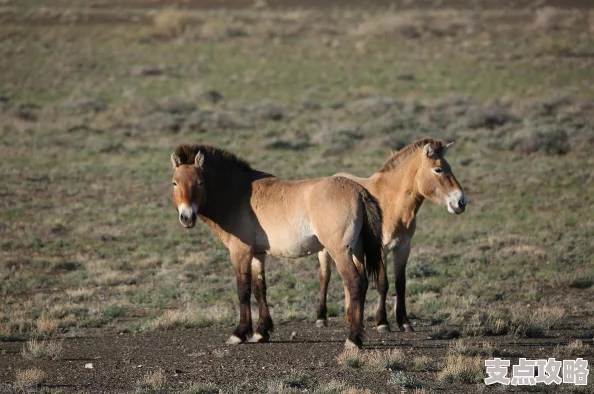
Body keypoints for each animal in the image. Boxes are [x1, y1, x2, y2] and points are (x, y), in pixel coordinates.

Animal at [171, 144, 384, 348]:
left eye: (200, 182)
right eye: (175, 183)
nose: (187, 217)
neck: (238, 194)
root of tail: (359, 191)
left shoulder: (240, 252)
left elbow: (243, 290)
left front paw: (239, 333)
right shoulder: (257, 254)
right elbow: (259, 288)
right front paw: (260, 332)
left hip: (339, 252)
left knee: (355, 283)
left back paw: (353, 338)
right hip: (356, 251)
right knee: (364, 283)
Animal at [316, 139, 464, 332]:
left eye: (450, 167)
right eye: (438, 169)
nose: (461, 202)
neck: (393, 203)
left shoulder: (403, 248)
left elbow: (400, 284)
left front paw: (404, 322)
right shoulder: (382, 250)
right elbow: (382, 284)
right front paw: (382, 322)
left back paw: (351, 316)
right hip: (326, 250)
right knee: (325, 276)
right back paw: (321, 318)